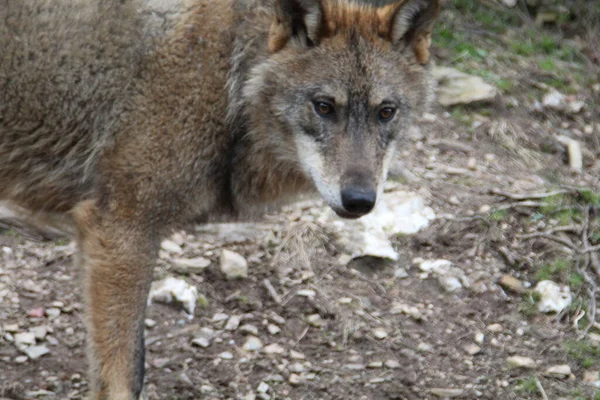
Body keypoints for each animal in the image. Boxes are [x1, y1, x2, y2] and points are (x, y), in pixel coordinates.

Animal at [0, 0, 440, 396]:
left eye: (386, 112)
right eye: (324, 107)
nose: (360, 200)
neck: (229, 81)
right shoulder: (121, 232)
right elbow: (125, 374)